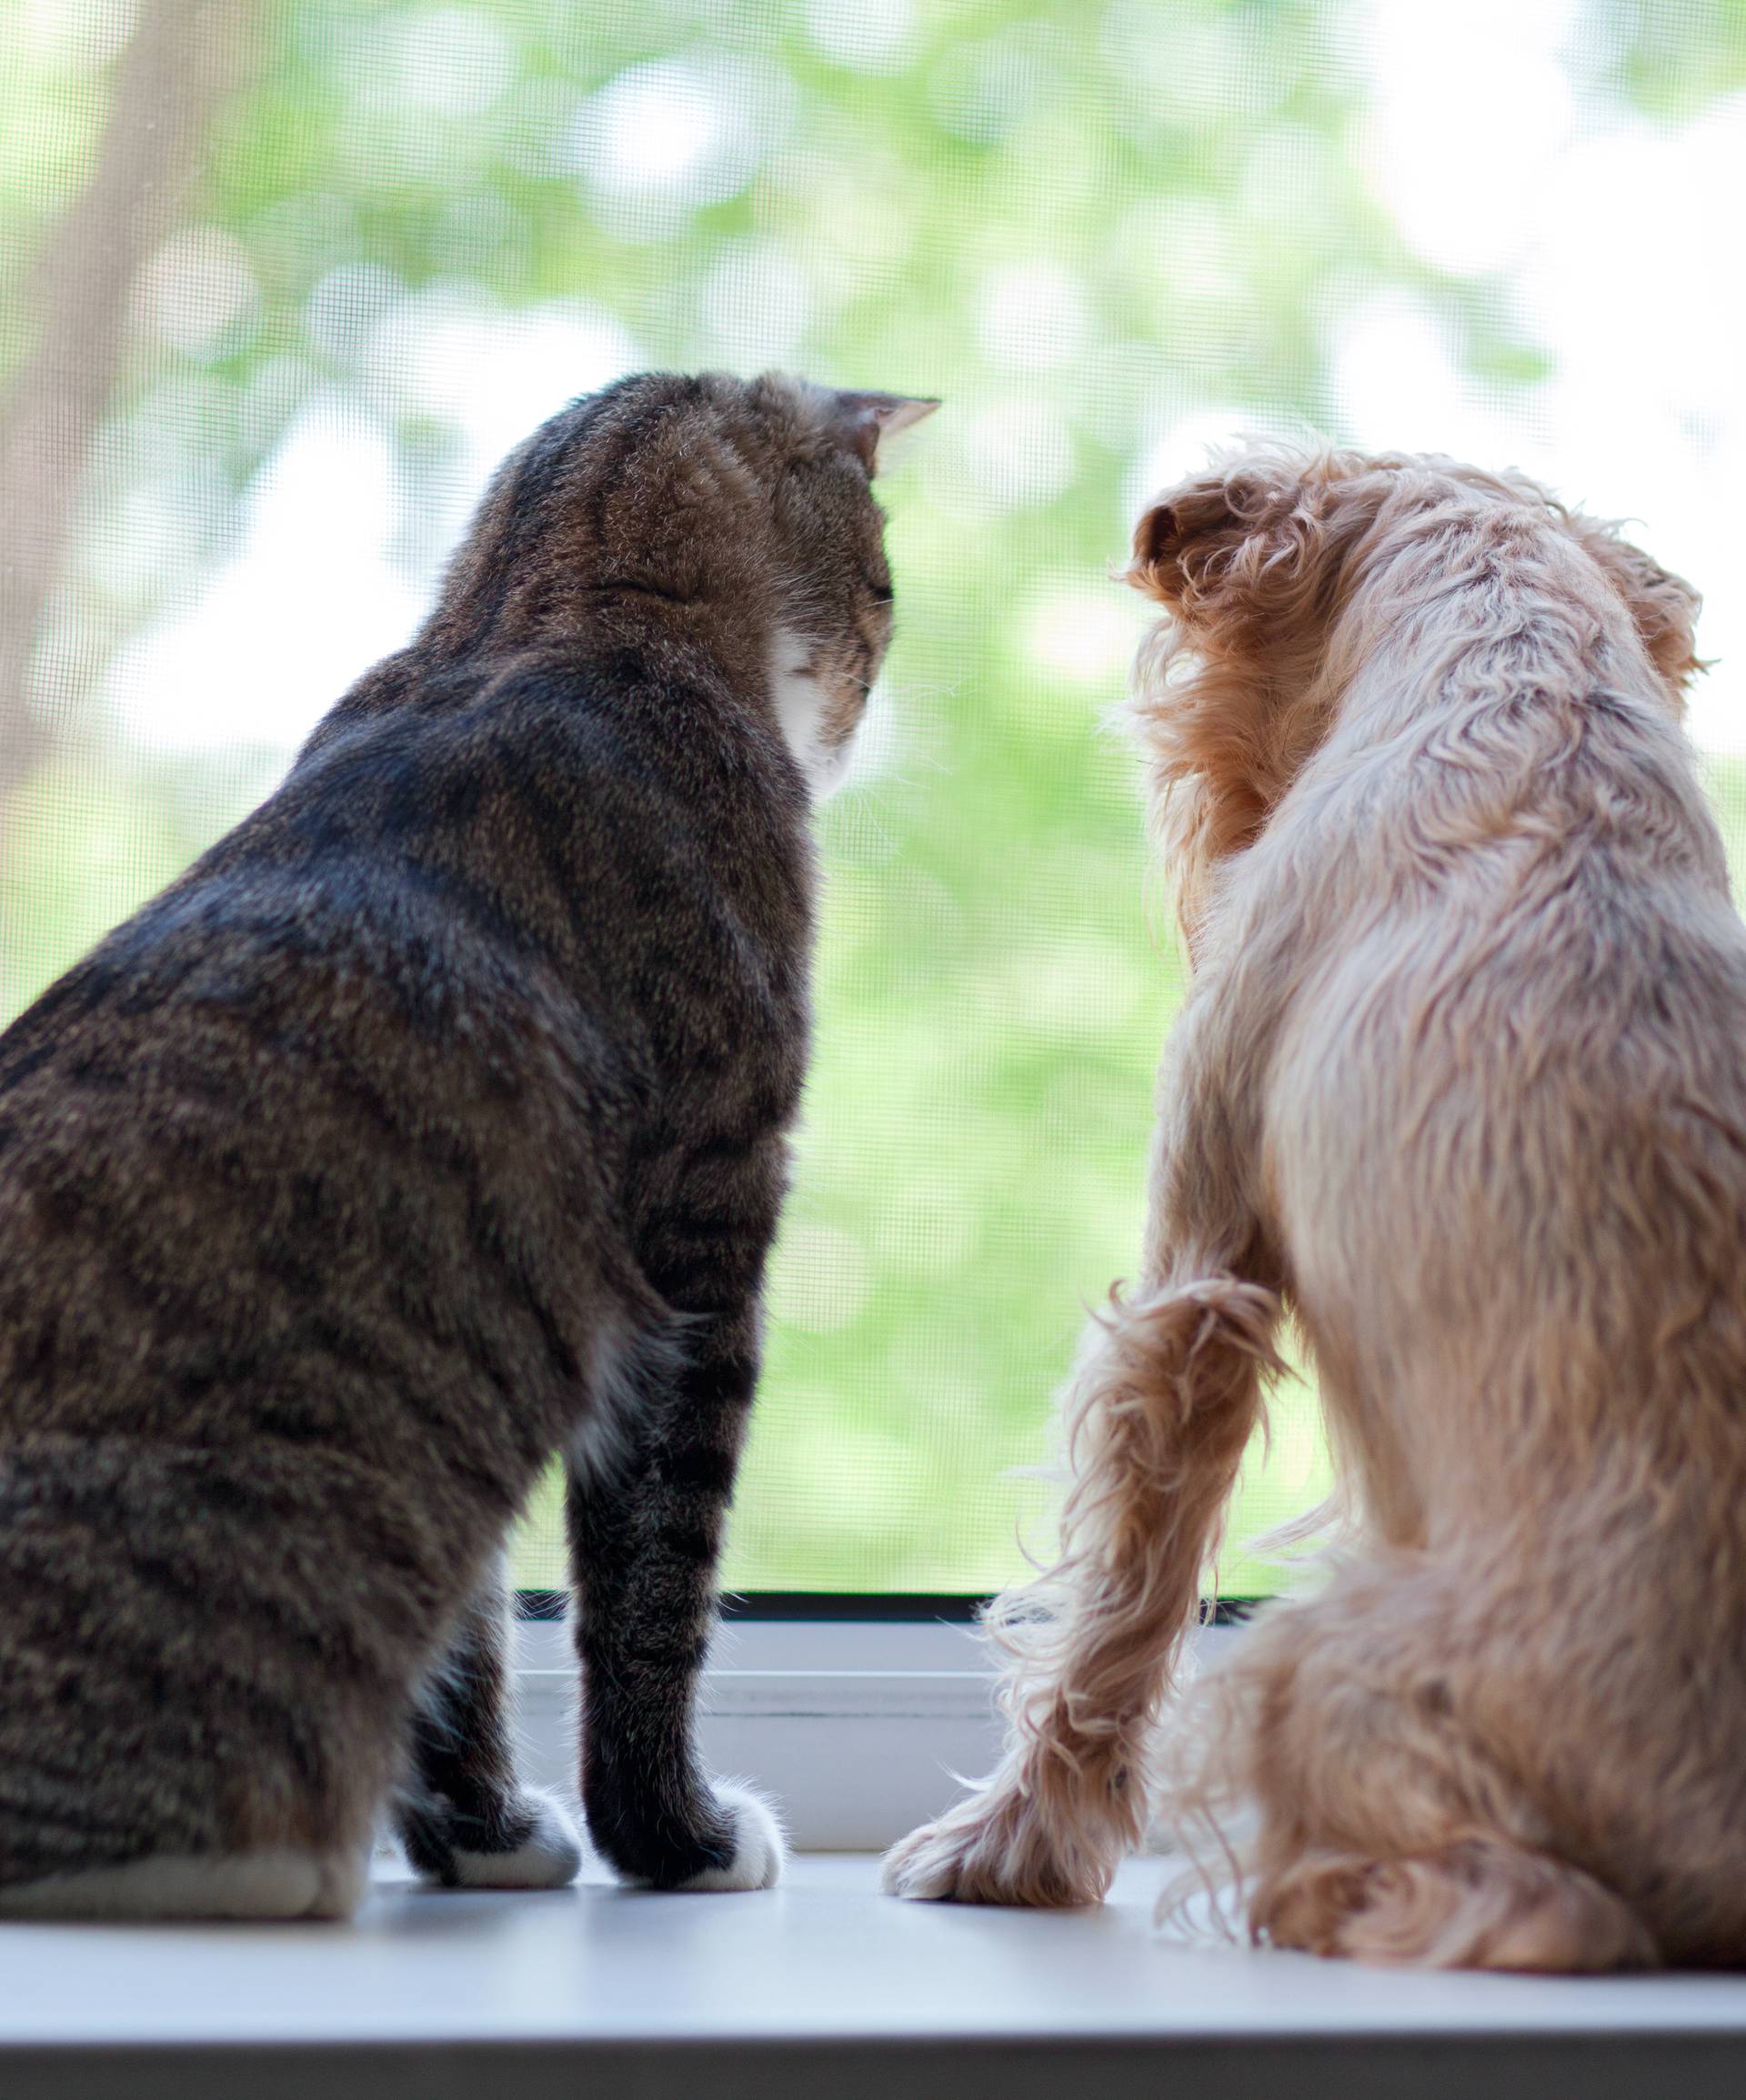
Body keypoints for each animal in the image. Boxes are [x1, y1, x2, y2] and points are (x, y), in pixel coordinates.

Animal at [0, 369, 936, 1914]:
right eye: (885, 588)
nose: (867, 705)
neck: (529, 617)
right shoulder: (699, 1240)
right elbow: (648, 1590)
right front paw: (672, 1838)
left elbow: (473, 1635)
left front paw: (483, 1834)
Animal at [885, 438, 1746, 1965]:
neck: (1529, 695)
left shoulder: (1197, 1279)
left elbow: (1120, 1606)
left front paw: (1008, 1850)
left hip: (1316, 1648)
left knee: (1522, 1898)